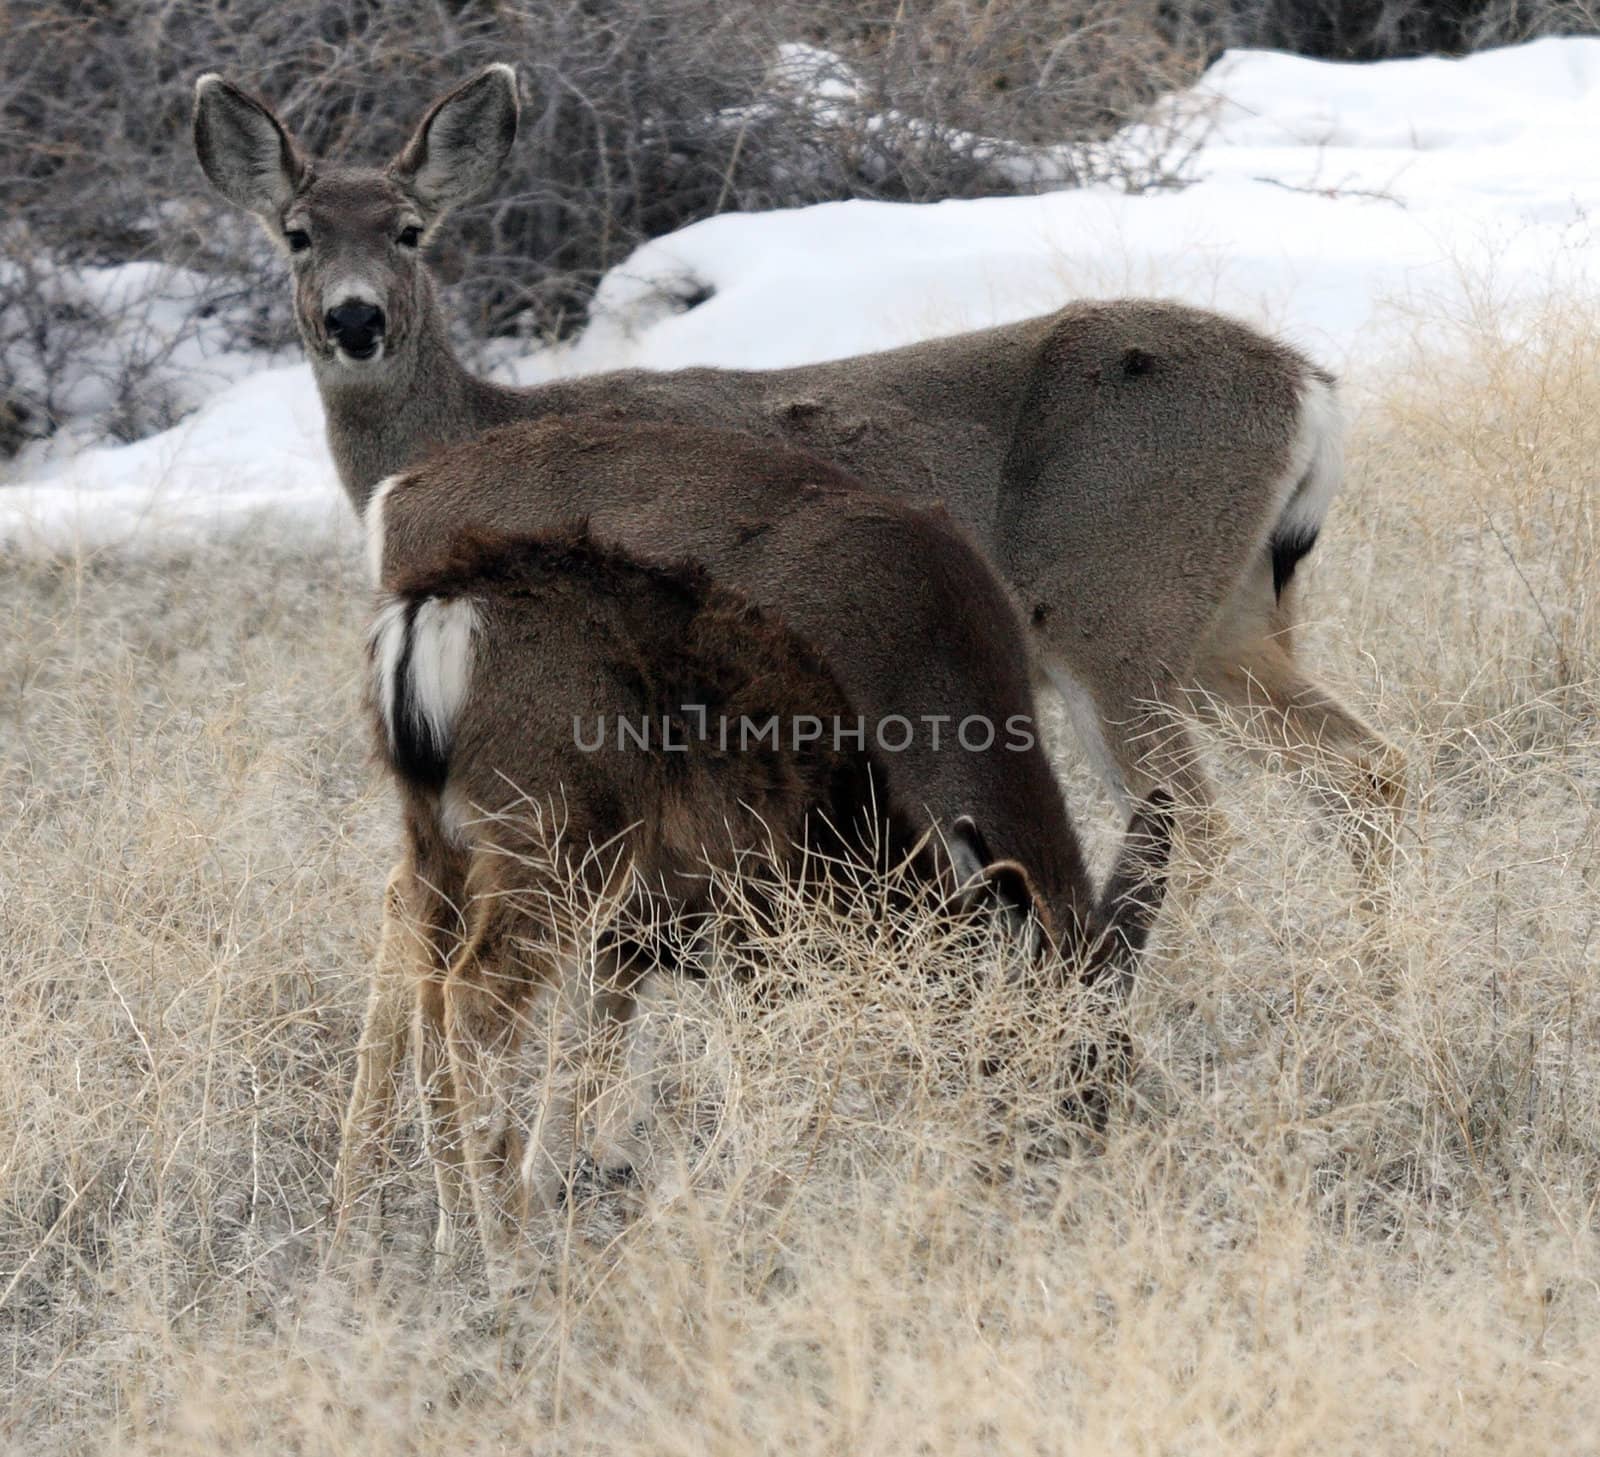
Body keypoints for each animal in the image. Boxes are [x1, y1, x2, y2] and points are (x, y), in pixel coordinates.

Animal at [193, 65, 1408, 889]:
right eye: (296, 233)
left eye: (409, 229)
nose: (356, 319)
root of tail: (1311, 388)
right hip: (1231, 618)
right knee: (1366, 767)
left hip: (1118, 606)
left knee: (1199, 819)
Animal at [347, 527, 1177, 1266]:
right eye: (1051, 1070)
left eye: (1122, 1068)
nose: (1070, 1180)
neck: (854, 848)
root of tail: (431, 615)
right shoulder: (756, 933)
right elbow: (768, 1088)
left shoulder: (646, 940)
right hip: (559, 828)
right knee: (474, 999)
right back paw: (506, 1260)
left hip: (439, 840)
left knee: (428, 997)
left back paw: (451, 1238)